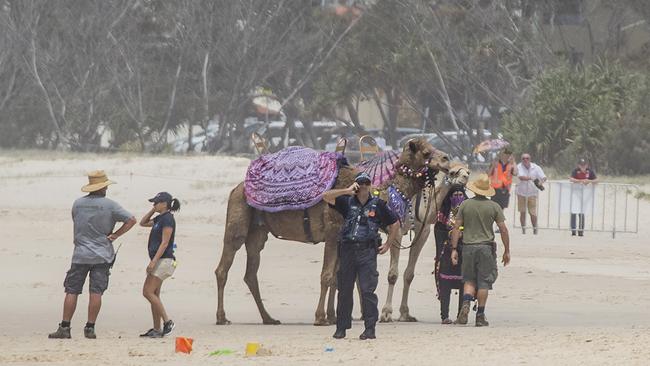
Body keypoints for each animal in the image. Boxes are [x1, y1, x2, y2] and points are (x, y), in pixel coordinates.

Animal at [215, 138, 448, 326]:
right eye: (426, 152)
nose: (446, 159)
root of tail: (236, 189)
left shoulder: (340, 239)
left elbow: (336, 278)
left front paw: (332, 316)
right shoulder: (332, 232)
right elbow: (326, 276)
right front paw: (320, 318)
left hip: (258, 232)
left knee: (250, 273)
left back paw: (269, 318)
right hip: (237, 221)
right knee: (223, 267)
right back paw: (222, 317)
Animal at [378, 162, 468, 322]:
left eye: (468, 170)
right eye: (452, 172)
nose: (465, 177)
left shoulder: (423, 231)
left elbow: (409, 274)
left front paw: (405, 314)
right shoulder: (396, 230)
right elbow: (393, 275)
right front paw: (386, 313)